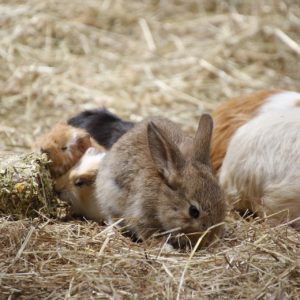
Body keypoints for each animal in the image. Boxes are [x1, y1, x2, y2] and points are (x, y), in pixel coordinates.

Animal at [95, 113, 225, 247]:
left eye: (223, 202)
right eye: (193, 211)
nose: (210, 239)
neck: (161, 195)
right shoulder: (140, 213)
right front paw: (166, 247)